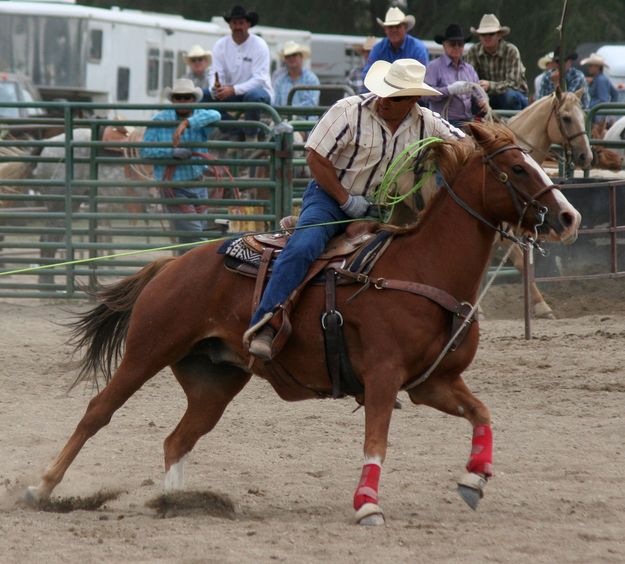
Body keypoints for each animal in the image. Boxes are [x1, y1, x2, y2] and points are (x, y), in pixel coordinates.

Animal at [24, 123, 580, 524]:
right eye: (518, 168)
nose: (569, 218)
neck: (424, 268)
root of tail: (172, 264)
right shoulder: (382, 377)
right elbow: (376, 441)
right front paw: (367, 505)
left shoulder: (434, 382)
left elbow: (483, 414)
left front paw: (474, 480)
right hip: (148, 349)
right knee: (97, 412)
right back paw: (40, 488)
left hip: (214, 379)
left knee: (178, 439)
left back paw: (175, 503)